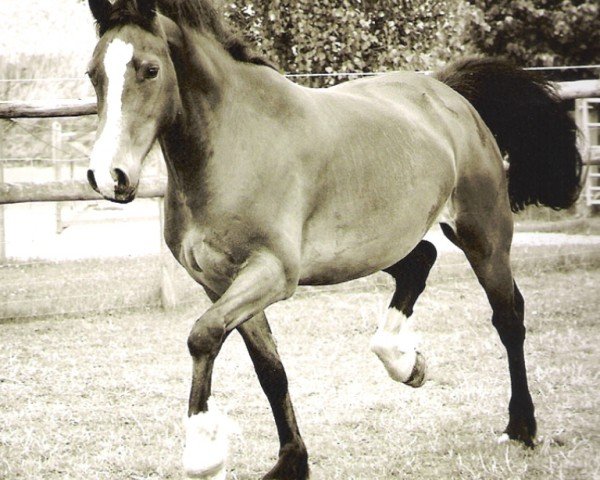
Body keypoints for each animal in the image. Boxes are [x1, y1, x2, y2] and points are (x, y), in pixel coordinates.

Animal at [84, 0, 580, 476]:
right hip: (370, 247)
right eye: (93, 74)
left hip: (483, 236)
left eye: (150, 69)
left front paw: (203, 453)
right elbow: (269, 369)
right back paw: (405, 362)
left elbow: (202, 336)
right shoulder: (219, 282)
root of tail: (447, 92)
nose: (109, 176)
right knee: (421, 260)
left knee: (508, 317)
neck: (234, 145)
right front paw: (291, 462)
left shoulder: (272, 273)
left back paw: (521, 427)